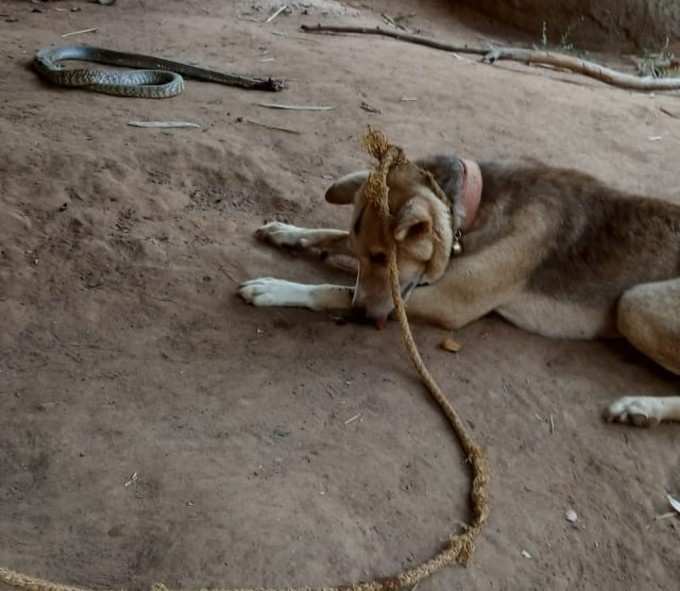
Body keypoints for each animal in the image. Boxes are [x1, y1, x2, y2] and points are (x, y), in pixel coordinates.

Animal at [239, 155, 680, 428]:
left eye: (384, 258)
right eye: (369, 255)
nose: (364, 317)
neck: (477, 204)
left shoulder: (448, 302)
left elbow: (333, 288)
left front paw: (277, 288)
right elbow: (331, 235)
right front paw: (289, 232)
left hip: (634, 305)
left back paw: (642, 407)